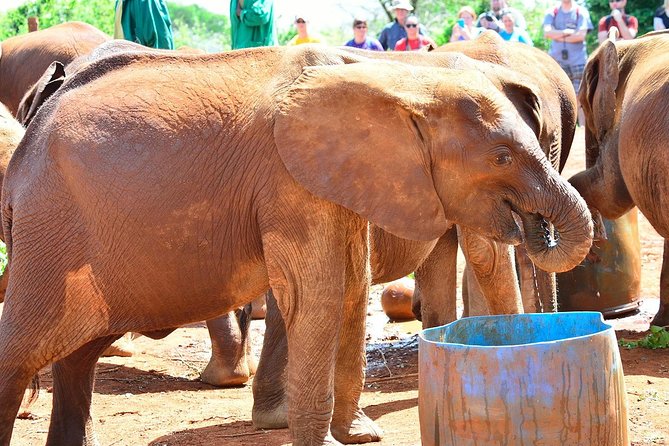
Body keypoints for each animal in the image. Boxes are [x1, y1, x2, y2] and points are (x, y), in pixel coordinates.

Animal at [0, 45, 593, 446]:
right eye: (501, 156)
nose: (538, 226)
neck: (399, 78)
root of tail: (27, 141)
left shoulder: (340, 179)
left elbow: (350, 288)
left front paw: (358, 436)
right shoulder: (290, 181)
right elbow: (321, 293)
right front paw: (328, 441)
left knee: (78, 355)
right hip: (52, 230)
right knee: (23, 349)